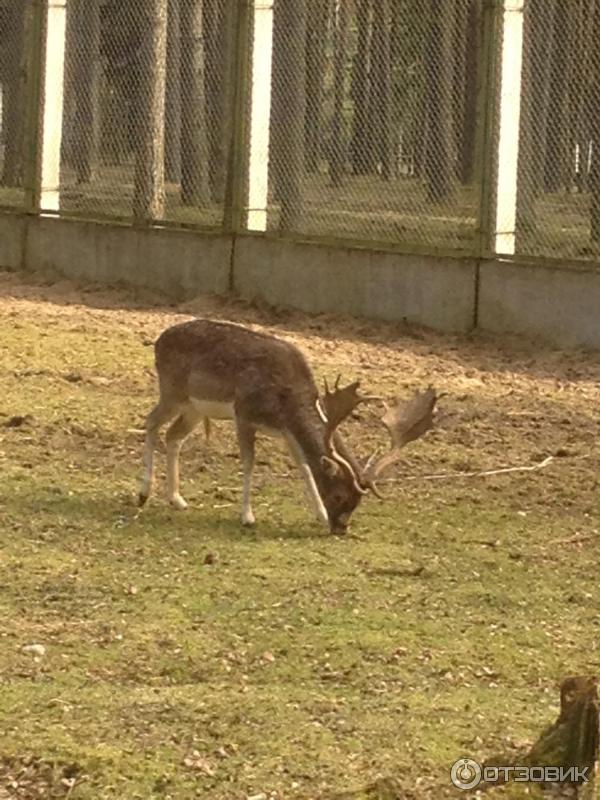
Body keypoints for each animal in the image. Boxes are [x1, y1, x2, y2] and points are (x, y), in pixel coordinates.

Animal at [137, 318, 436, 532]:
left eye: (358, 500)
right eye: (339, 496)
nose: (341, 529)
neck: (287, 401)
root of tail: (159, 340)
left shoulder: (286, 432)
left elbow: (304, 467)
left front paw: (319, 515)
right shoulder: (244, 413)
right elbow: (249, 462)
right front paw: (247, 516)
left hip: (195, 408)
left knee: (173, 436)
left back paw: (177, 499)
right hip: (172, 391)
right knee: (150, 421)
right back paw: (143, 493)